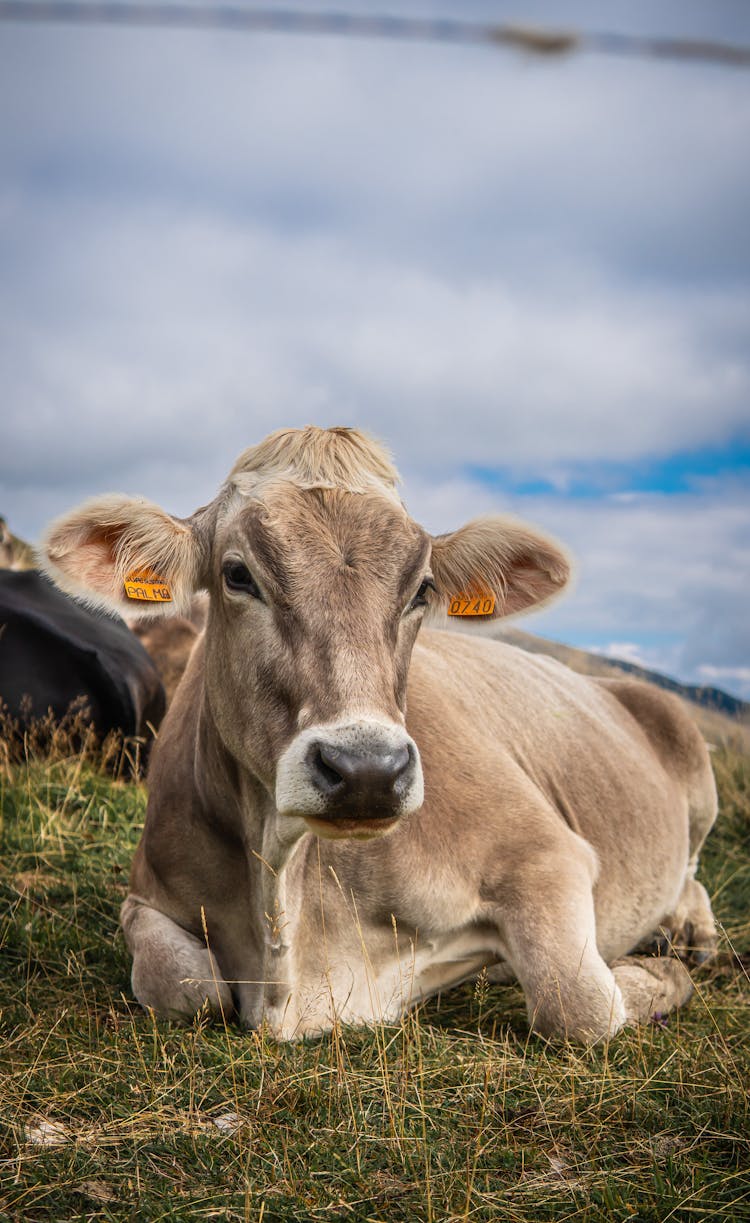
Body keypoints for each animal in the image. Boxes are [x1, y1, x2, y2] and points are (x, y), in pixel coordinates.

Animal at [42, 428, 719, 1041]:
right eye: (237, 575)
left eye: (422, 588)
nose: (367, 771)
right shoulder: (146, 894)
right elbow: (185, 986)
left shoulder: (545, 855)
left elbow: (580, 1005)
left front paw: (656, 975)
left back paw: (692, 935)